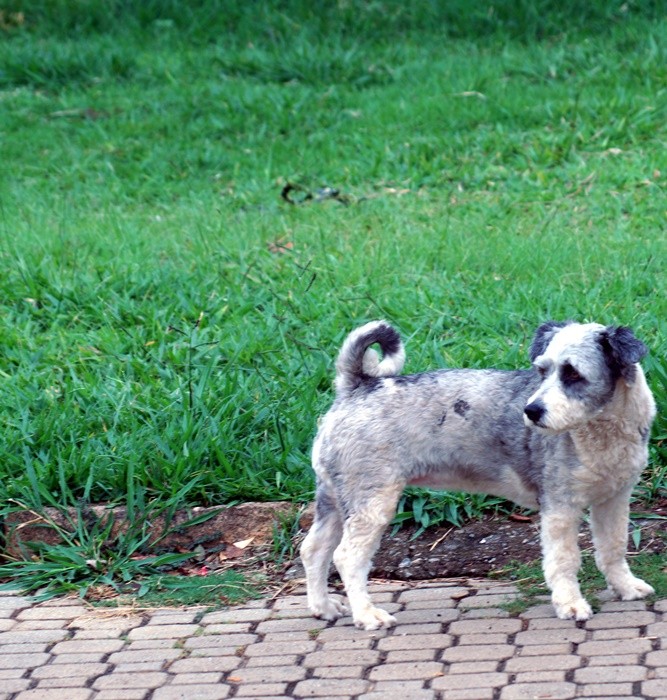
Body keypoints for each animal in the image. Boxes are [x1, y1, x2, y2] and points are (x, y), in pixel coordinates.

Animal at [302, 320, 656, 632]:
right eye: (542, 371)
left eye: (573, 373)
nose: (532, 411)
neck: (601, 432)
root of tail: (355, 387)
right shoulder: (561, 506)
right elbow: (564, 560)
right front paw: (570, 604)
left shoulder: (614, 498)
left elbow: (613, 548)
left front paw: (626, 587)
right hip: (371, 503)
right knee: (347, 557)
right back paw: (366, 615)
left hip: (335, 499)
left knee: (314, 550)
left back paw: (323, 607)